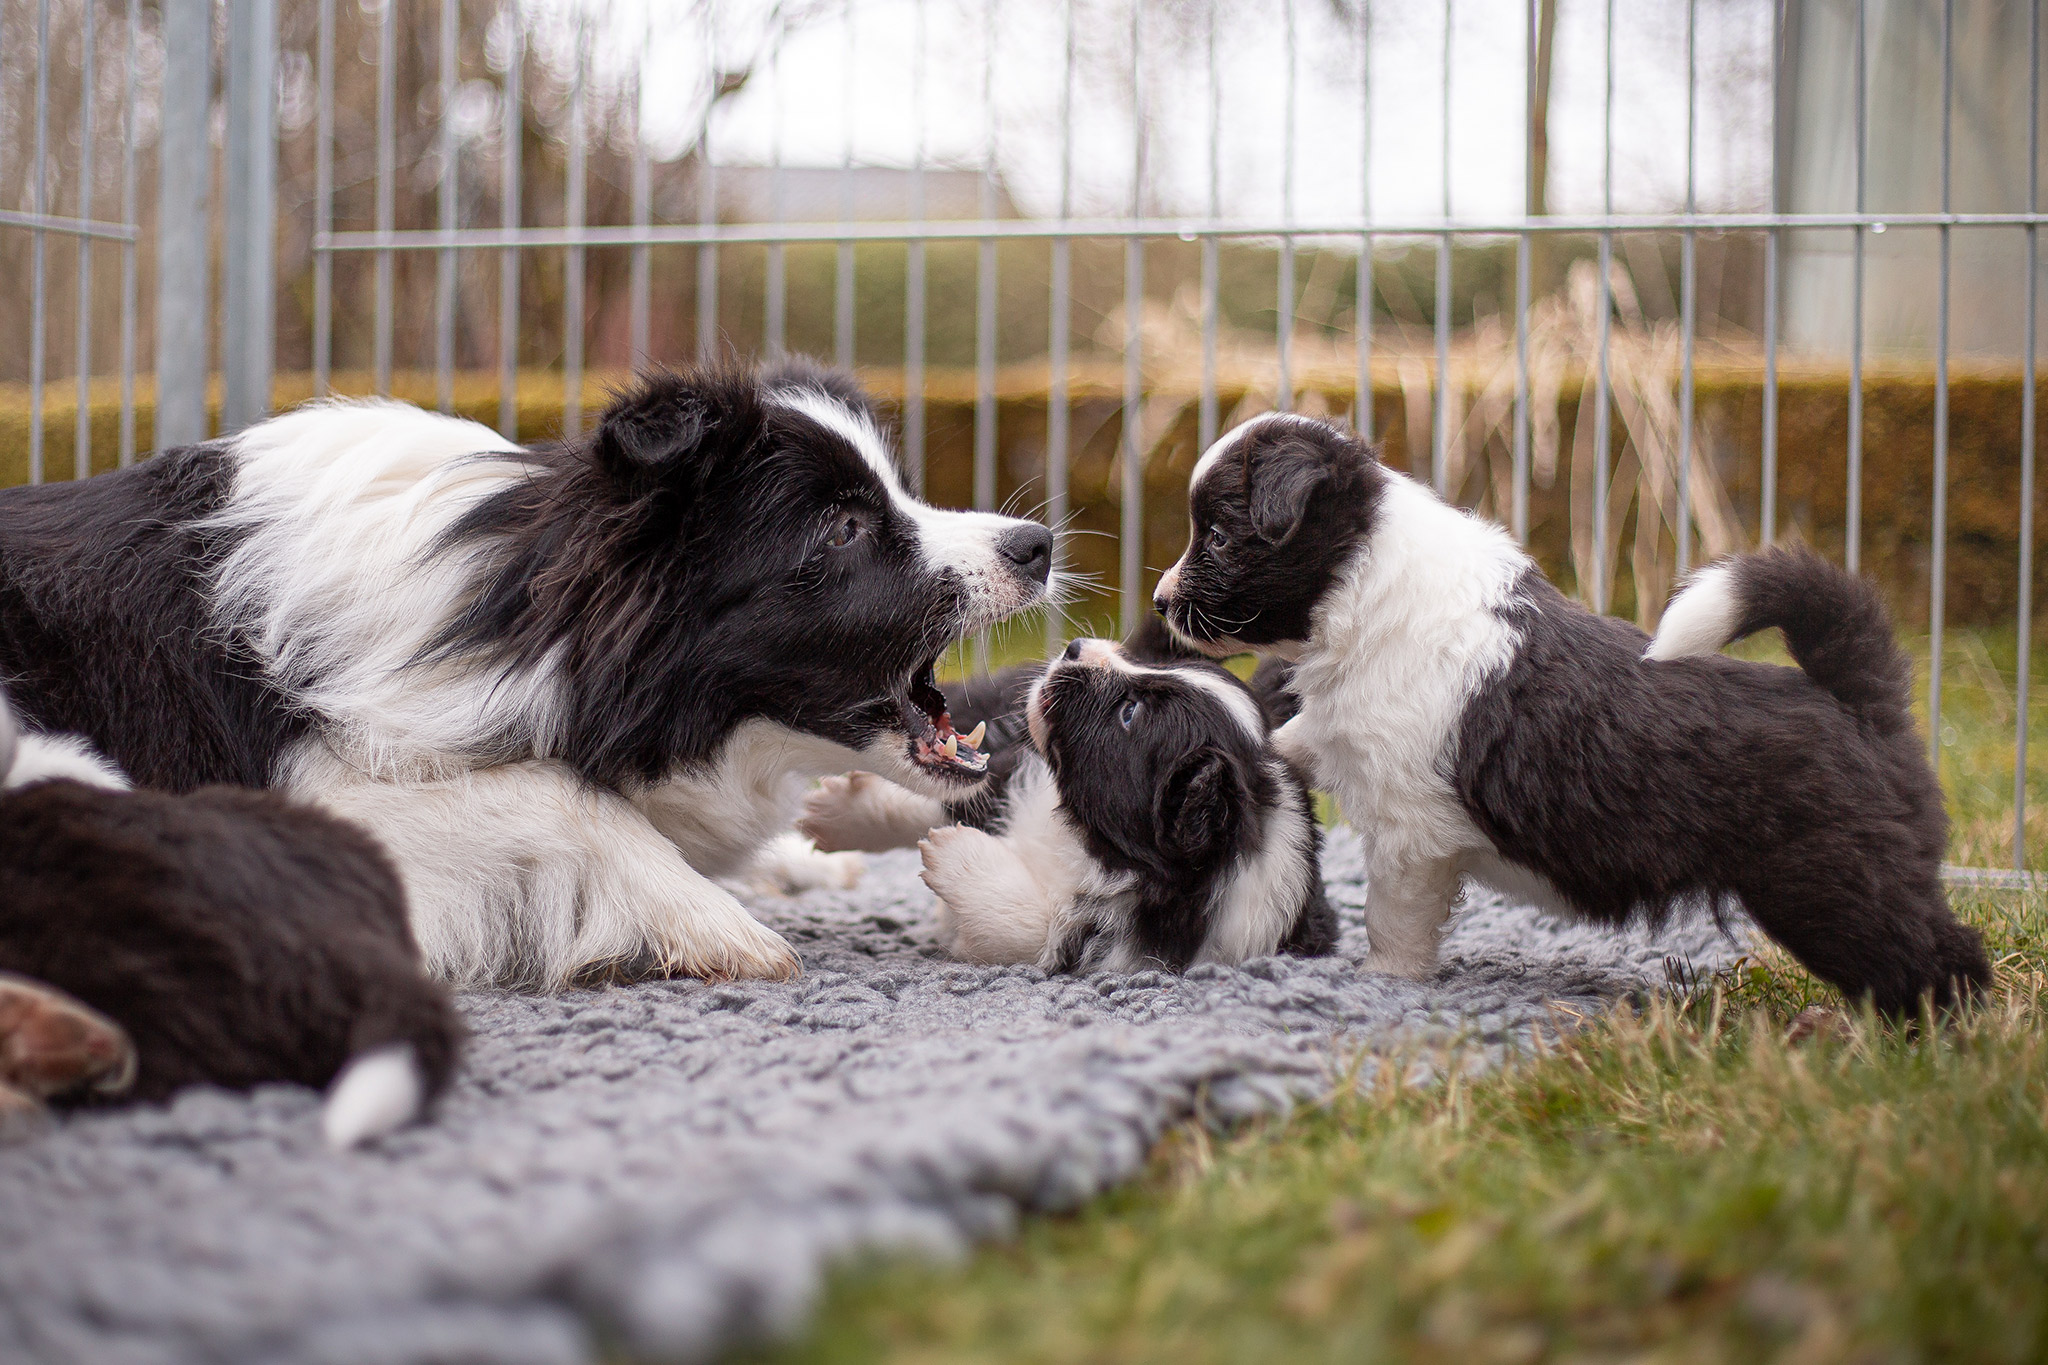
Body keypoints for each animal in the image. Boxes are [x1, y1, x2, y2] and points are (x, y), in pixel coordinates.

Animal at [0, 362, 1056, 994]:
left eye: (901, 493)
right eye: (842, 528)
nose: (1038, 544)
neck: (516, 609)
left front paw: (795, 858)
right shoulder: (307, 786)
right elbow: (563, 795)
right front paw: (713, 922)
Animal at [790, 626, 1335, 978]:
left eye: (1130, 714)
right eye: (1161, 666)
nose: (1074, 648)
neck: (1084, 836)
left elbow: (1035, 926)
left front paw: (954, 855)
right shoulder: (1018, 776)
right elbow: (965, 790)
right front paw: (834, 815)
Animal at [1163, 411, 1990, 1019]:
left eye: (1219, 536)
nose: (1159, 602)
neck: (1362, 580)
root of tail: (1856, 700)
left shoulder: (1410, 836)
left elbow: (1392, 920)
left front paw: (1383, 982)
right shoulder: (1348, 729)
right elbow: (1295, 735)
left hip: (1833, 882)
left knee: (1937, 956)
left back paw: (1924, 1041)